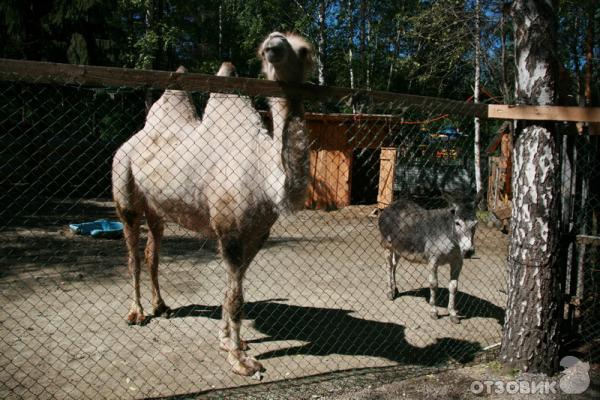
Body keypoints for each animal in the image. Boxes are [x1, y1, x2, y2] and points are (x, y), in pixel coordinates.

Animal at [112, 32, 314, 376]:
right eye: (268, 44)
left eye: (304, 49)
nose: (273, 44)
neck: (265, 175)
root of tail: (132, 139)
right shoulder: (229, 231)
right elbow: (236, 298)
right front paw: (239, 359)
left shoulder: (258, 234)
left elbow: (234, 289)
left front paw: (231, 341)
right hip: (124, 183)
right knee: (133, 252)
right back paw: (136, 313)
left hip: (157, 207)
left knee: (153, 250)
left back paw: (161, 306)